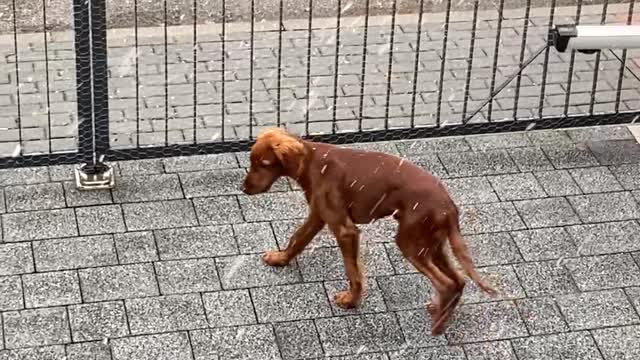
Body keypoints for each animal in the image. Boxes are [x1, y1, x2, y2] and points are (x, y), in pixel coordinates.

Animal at [242, 127, 498, 334]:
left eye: (264, 164)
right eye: (252, 162)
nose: (243, 189)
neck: (312, 161)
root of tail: (449, 205)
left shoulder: (345, 230)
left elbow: (353, 272)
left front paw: (350, 301)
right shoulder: (318, 215)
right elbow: (297, 238)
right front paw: (280, 259)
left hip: (410, 241)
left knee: (446, 283)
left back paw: (437, 327)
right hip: (432, 242)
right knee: (458, 281)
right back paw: (441, 314)